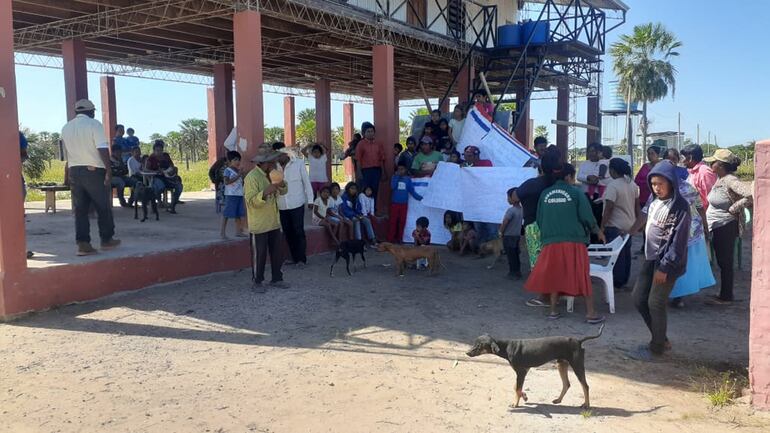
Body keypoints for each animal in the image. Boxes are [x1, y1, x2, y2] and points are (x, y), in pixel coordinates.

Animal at [464, 324, 604, 408]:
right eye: (474, 343)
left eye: (479, 346)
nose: (467, 353)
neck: (507, 347)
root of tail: (578, 341)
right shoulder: (523, 371)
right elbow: (516, 387)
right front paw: (524, 396)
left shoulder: (521, 372)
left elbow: (517, 388)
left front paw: (515, 404)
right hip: (561, 364)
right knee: (567, 384)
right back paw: (558, 400)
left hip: (577, 365)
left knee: (585, 386)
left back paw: (586, 405)